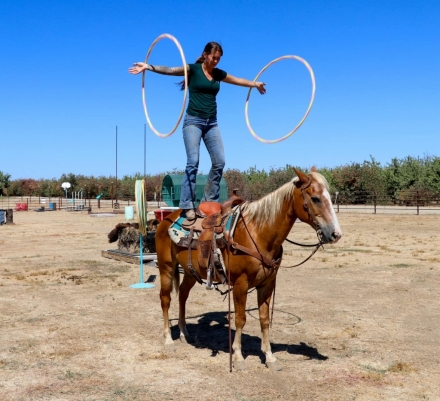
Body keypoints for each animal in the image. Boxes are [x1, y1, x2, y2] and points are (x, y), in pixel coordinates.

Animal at [156, 166, 344, 368]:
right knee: (165, 299)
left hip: (191, 272)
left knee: (182, 295)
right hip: (166, 267)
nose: (336, 234)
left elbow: (264, 319)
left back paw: (184, 333)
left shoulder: (267, 284)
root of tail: (167, 218)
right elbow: (240, 319)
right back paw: (168, 339)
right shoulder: (241, 283)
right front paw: (238, 356)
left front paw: (269, 356)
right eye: (315, 198)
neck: (258, 233)